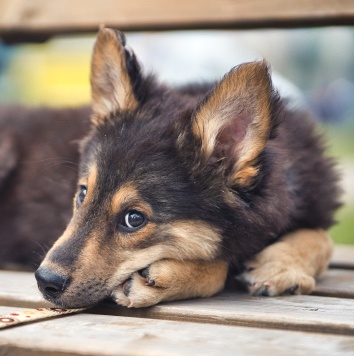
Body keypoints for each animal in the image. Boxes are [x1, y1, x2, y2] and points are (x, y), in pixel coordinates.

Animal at [34, 28, 342, 308]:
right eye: (82, 194)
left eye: (134, 219)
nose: (45, 281)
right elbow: (220, 265)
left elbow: (323, 237)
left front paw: (280, 266)